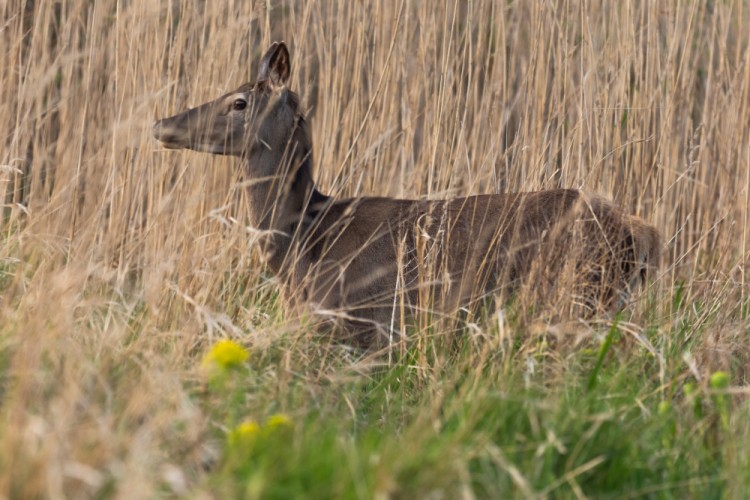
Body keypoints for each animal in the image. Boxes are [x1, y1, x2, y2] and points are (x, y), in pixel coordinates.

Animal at [154, 42, 664, 348]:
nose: (162, 122)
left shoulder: (360, 322)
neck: (304, 244)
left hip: (572, 295)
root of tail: (642, 234)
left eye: (239, 102)